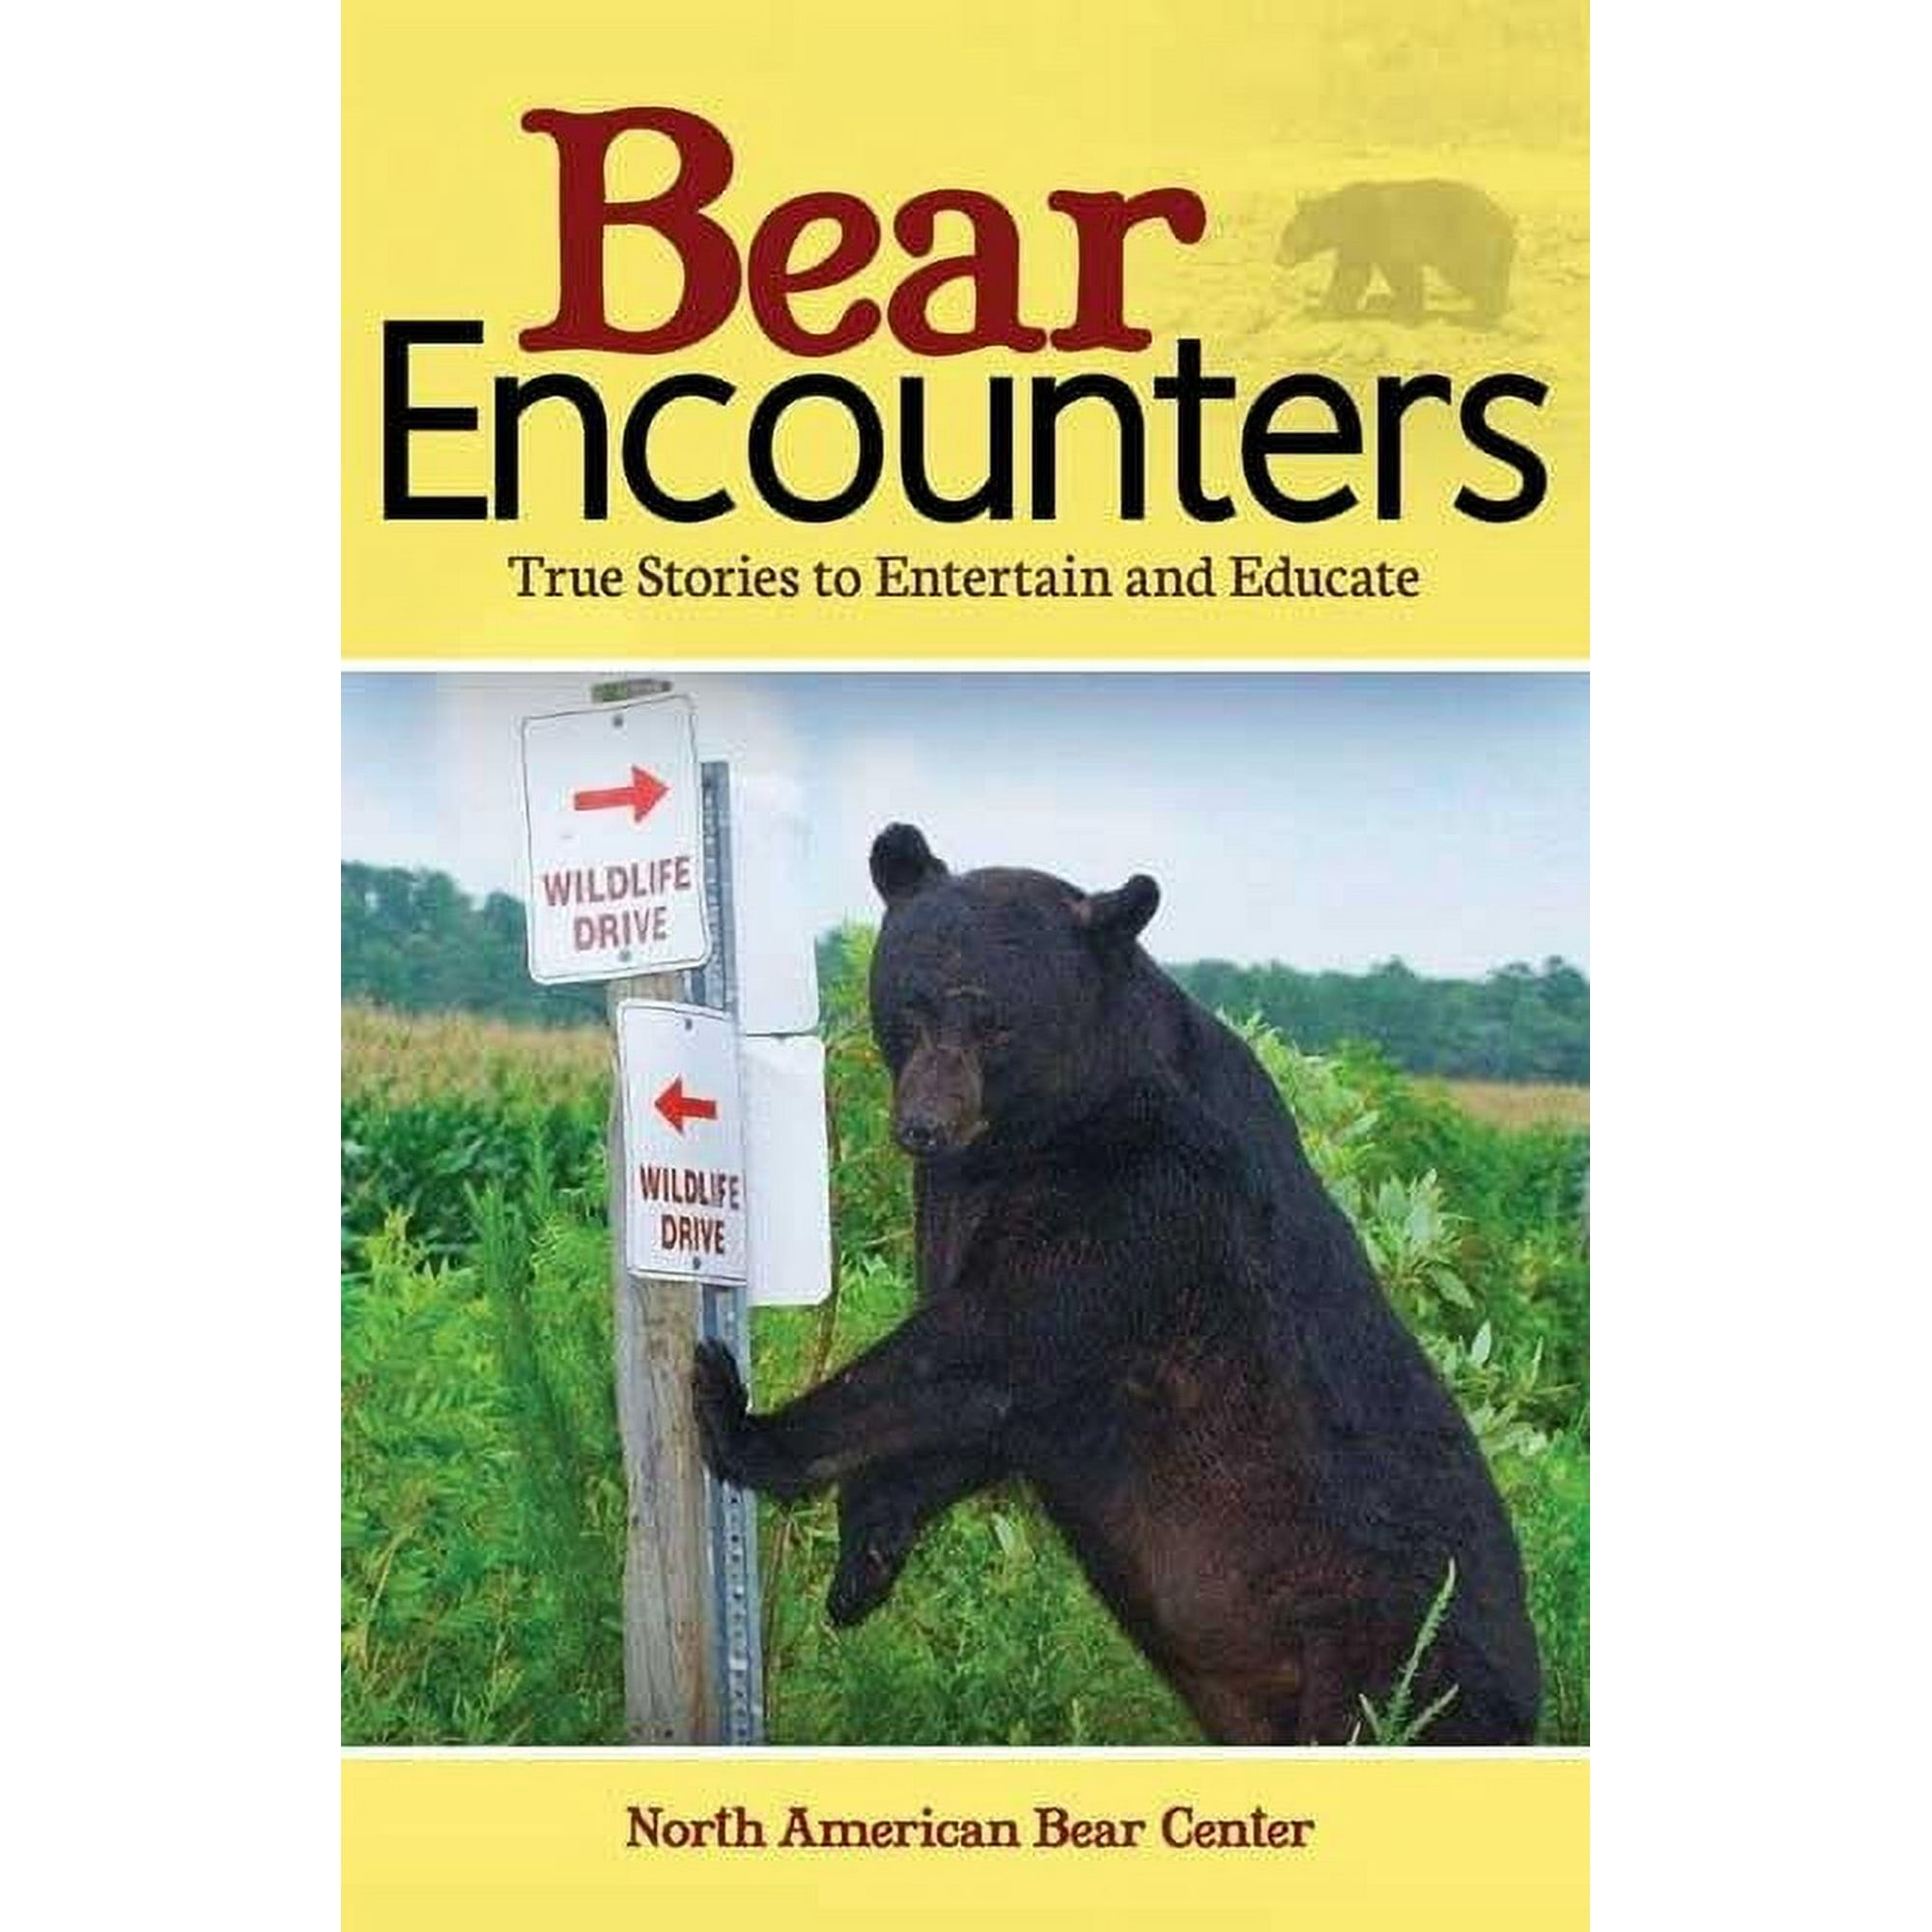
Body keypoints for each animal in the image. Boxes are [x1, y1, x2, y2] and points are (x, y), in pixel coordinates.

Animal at [692, 824, 1540, 1745]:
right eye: (910, 1005)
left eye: (997, 1021)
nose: (923, 1125)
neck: (1043, 1129)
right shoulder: (970, 1207)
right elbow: (989, 1417)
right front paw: (864, 1561)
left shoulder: (1142, 1203)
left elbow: (982, 1347)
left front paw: (736, 1415)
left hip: (1381, 1662)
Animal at [1276, 180, 1516, 324]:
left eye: (1286, 236)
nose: (1278, 259)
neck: (1340, 217)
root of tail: (1503, 219)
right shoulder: (1360, 243)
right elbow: (1354, 274)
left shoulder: (1377, 232)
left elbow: (1398, 271)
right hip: (1495, 250)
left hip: (1466, 238)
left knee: (1470, 274)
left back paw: (1475, 315)